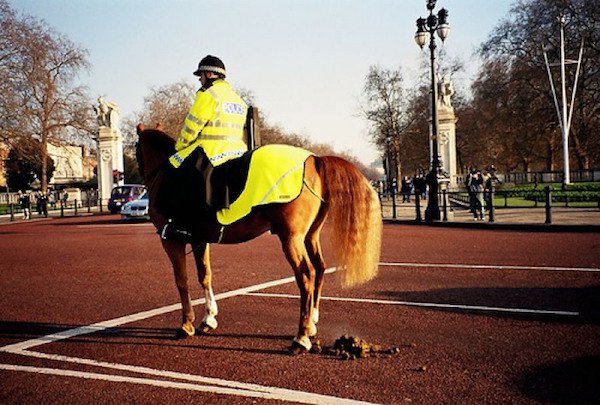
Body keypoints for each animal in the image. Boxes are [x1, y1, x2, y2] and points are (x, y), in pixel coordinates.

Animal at [135, 122, 380, 350]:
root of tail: (314, 159)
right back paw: (311, 323)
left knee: (305, 274)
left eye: (136, 148)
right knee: (319, 268)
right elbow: (205, 275)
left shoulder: (171, 240)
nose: (140, 176)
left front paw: (186, 324)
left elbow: (181, 280)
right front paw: (208, 318)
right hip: (310, 236)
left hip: (291, 238)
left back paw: (301, 337)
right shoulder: (199, 239)